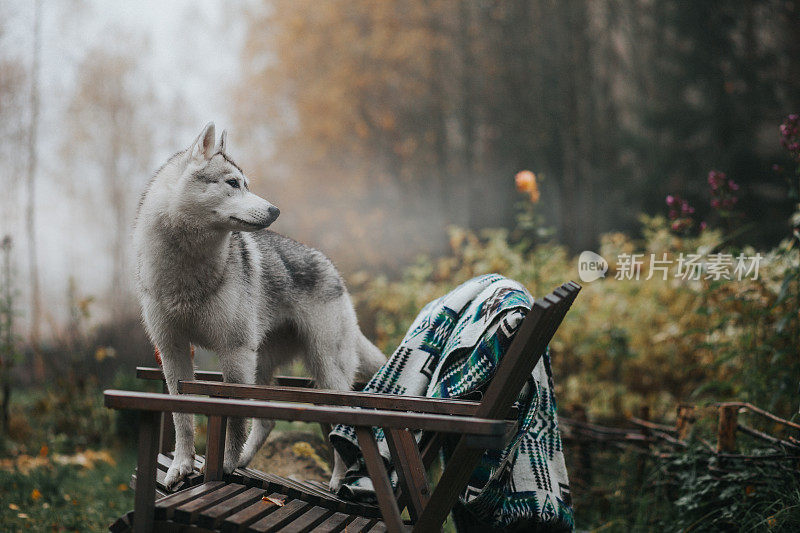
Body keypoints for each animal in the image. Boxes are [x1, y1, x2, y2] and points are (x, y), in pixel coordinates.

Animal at [134, 123, 384, 486]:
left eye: (247, 184)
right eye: (233, 183)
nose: (275, 210)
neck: (188, 272)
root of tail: (331, 266)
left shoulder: (235, 352)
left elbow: (234, 419)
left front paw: (222, 464)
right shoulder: (173, 351)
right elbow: (183, 417)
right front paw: (182, 466)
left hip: (325, 374)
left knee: (343, 423)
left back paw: (338, 482)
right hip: (263, 363)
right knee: (266, 419)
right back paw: (244, 462)